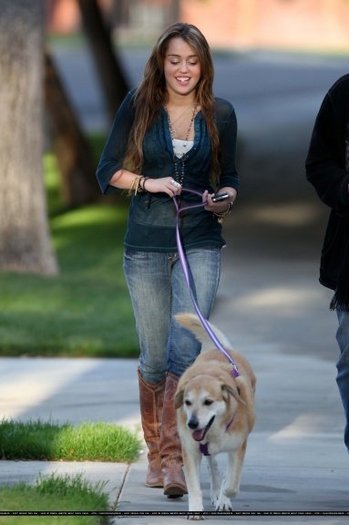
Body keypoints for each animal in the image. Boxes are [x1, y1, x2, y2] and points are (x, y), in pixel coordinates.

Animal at [174, 314, 256, 512]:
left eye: (208, 402)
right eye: (187, 402)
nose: (192, 424)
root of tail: (220, 349)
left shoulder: (238, 446)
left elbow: (232, 483)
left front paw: (225, 497)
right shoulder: (190, 449)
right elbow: (194, 485)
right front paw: (196, 509)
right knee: (213, 466)